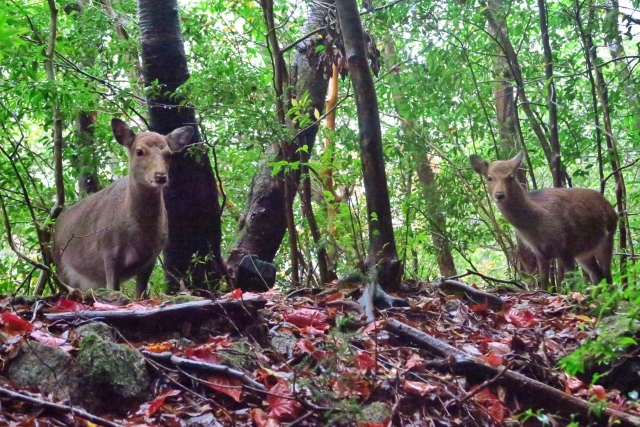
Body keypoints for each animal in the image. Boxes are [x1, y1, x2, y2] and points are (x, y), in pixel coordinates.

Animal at [53, 118, 194, 300]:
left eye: (169, 154)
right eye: (139, 151)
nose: (160, 176)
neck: (139, 236)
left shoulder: (152, 256)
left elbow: (140, 293)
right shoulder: (109, 250)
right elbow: (114, 289)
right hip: (60, 264)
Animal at [468, 152, 616, 290]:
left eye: (510, 176)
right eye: (489, 177)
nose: (499, 194)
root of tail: (612, 209)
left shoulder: (565, 247)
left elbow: (573, 282)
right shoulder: (541, 252)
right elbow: (544, 284)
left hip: (608, 238)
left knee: (607, 275)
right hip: (584, 252)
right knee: (598, 275)